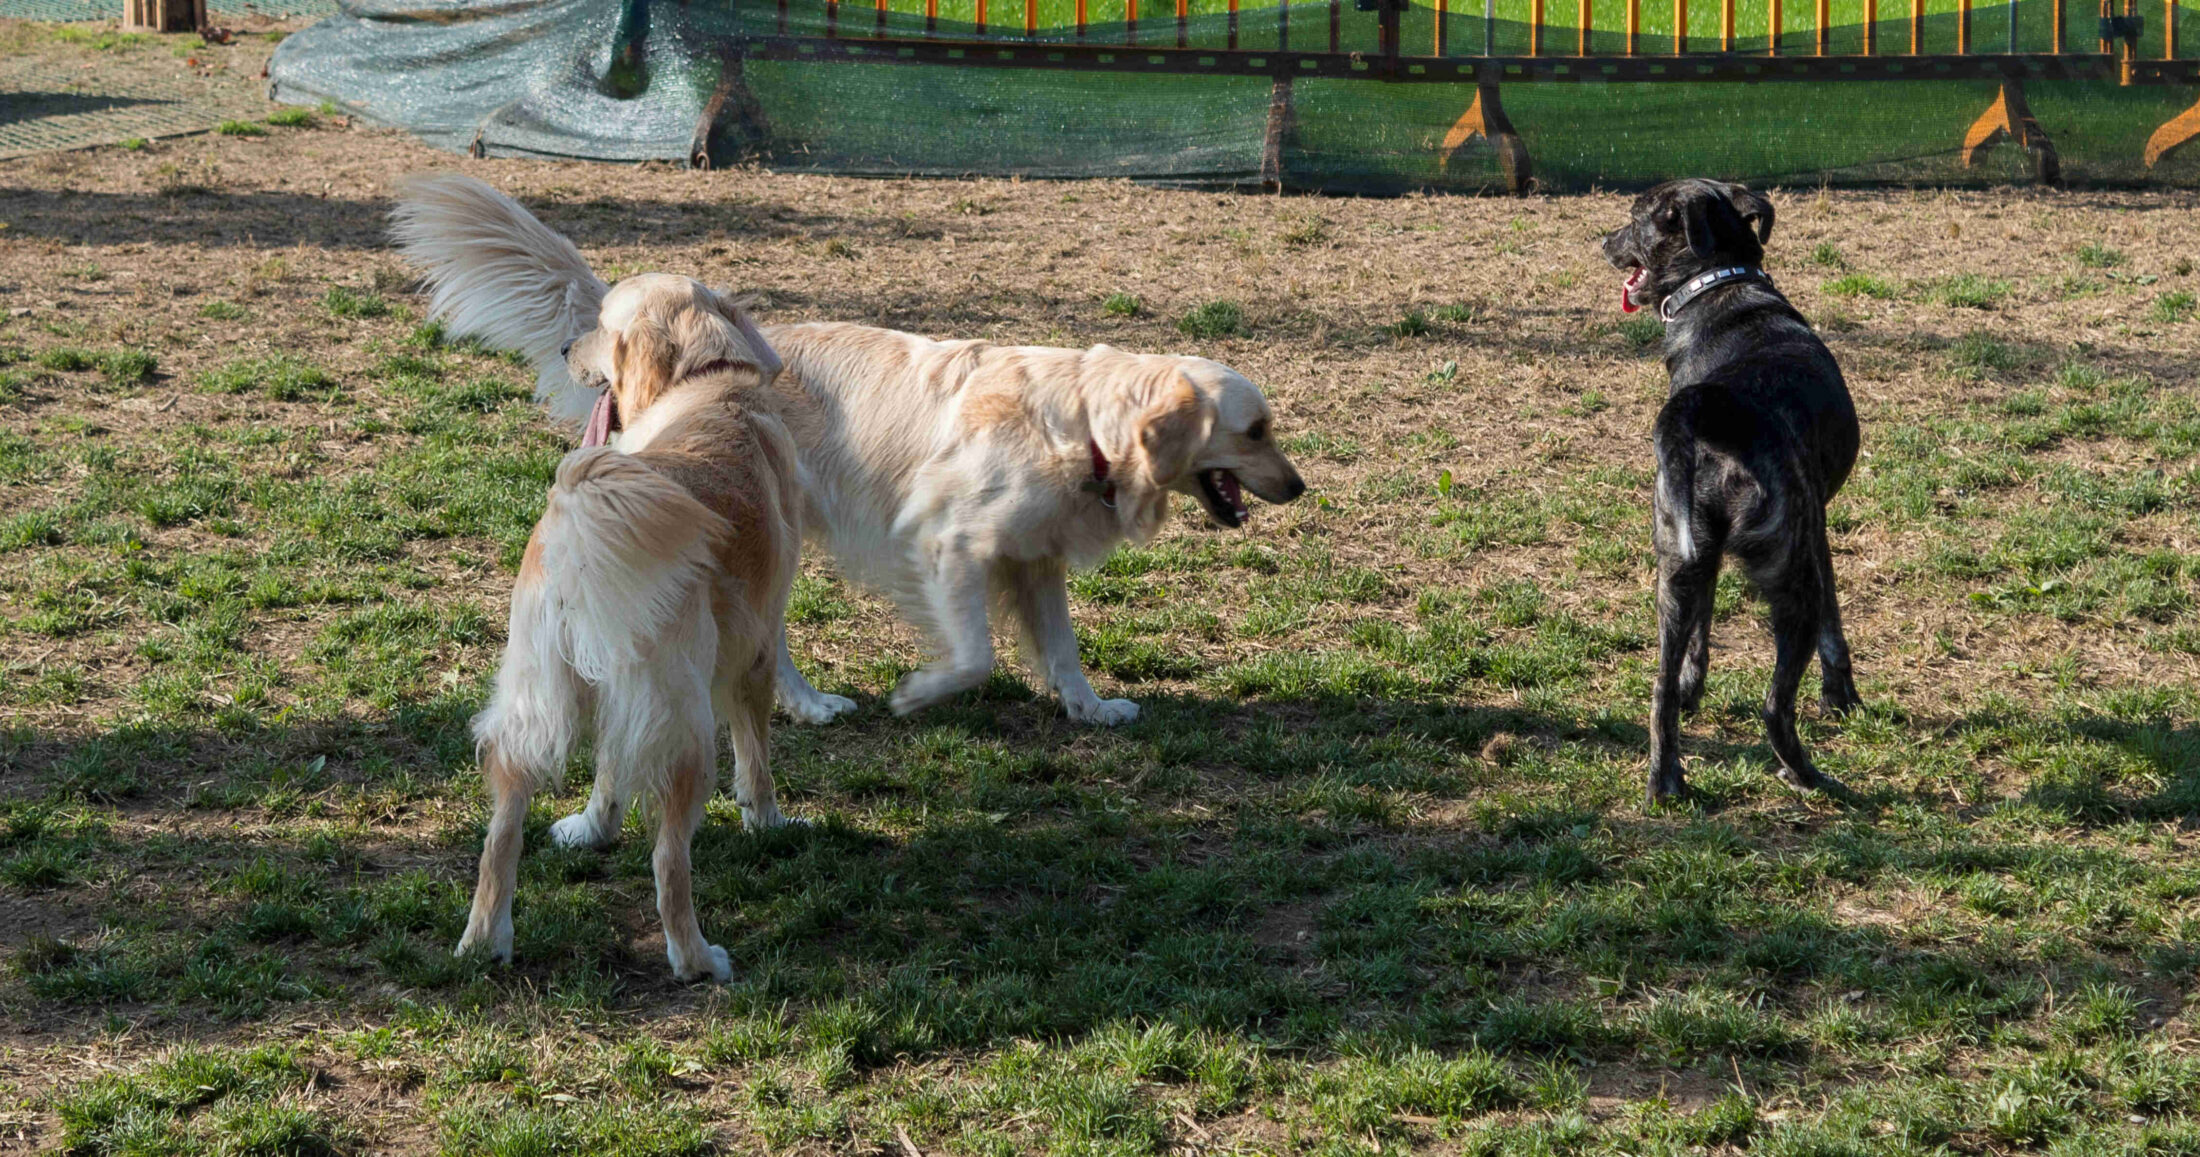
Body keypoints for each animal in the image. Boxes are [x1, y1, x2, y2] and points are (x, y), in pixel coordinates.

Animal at [391, 170, 1302, 734]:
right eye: (1256, 430)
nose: (1298, 487)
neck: (1081, 421)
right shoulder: (948, 542)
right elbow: (974, 655)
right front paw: (921, 691)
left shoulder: (1033, 555)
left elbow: (1064, 648)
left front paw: (1090, 707)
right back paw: (807, 703)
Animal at [462, 274, 800, 989]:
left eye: (600, 324)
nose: (566, 346)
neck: (708, 386)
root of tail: (580, 532)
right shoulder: (756, 653)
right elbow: (756, 760)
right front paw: (769, 824)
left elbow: (609, 774)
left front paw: (596, 827)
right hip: (684, 730)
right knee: (670, 865)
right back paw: (697, 959)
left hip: (539, 700)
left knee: (501, 835)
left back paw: (484, 941)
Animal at [1601, 181, 1856, 809]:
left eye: (1634, 218)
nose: (1603, 241)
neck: (1720, 284)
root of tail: (1707, 416)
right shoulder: (1815, 532)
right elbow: (1835, 625)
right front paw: (1840, 697)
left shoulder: (1701, 560)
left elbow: (1700, 638)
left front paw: (1694, 689)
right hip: (1792, 583)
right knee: (1775, 707)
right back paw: (1808, 776)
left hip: (1675, 565)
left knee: (1659, 688)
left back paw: (1665, 778)